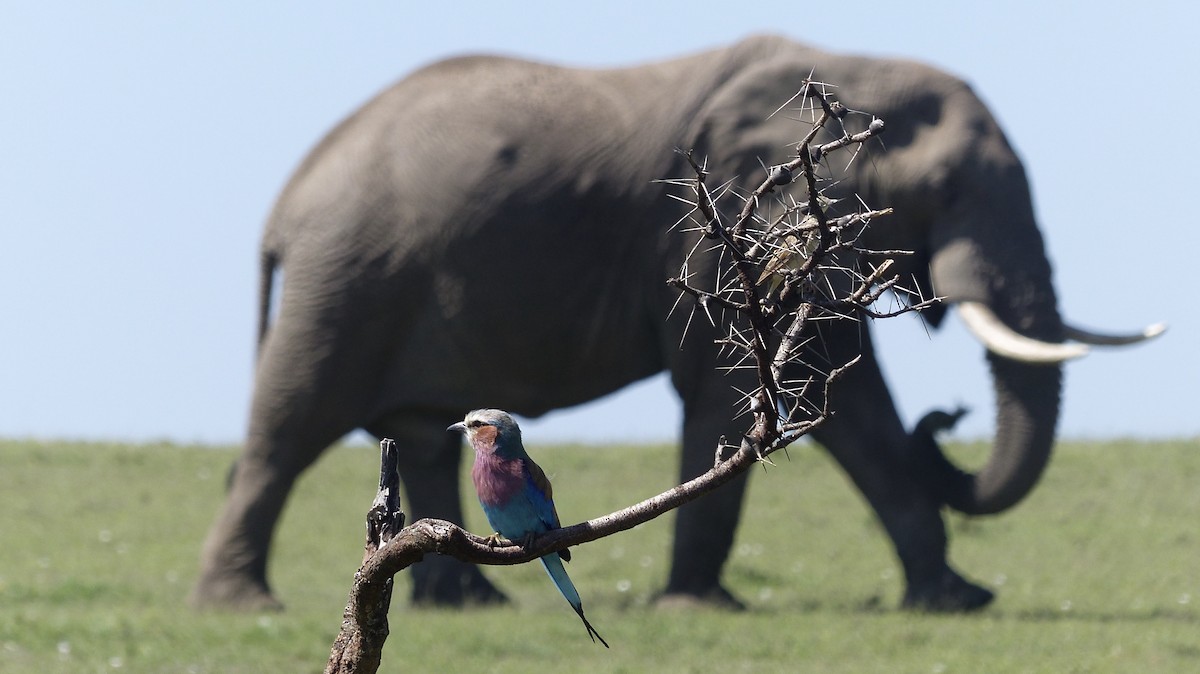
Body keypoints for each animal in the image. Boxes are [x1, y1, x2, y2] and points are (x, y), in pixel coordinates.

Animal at [192, 34, 1156, 609]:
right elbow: (739, 390)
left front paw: (957, 601)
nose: (946, 420)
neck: (845, 59)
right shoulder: (724, 232)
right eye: (949, 189)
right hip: (344, 283)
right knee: (286, 432)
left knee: (423, 435)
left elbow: (850, 404)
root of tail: (289, 200)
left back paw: (469, 601)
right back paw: (243, 605)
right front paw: (699, 606)